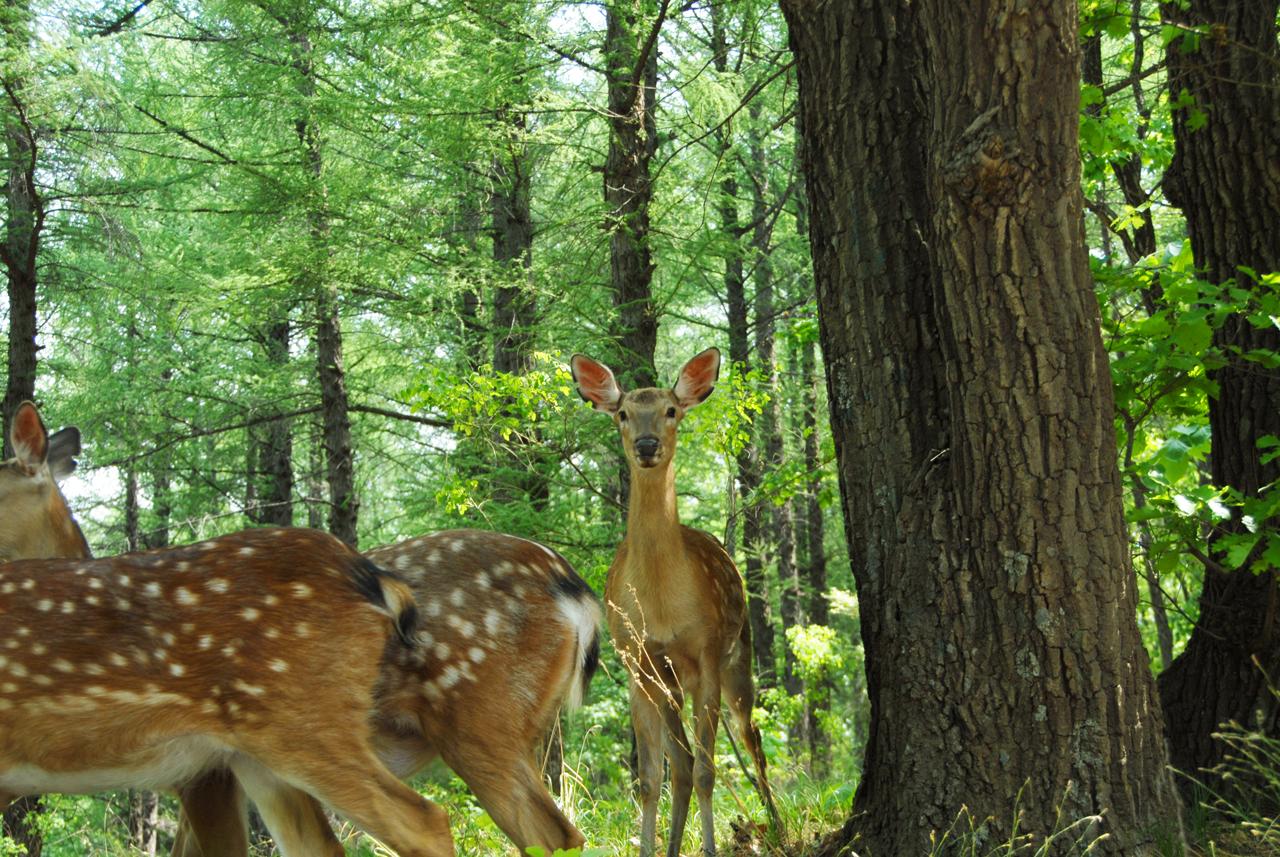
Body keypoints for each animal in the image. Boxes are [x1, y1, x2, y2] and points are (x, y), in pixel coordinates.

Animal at [573, 347, 778, 857]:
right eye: (623, 414)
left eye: (670, 410)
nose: (647, 445)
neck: (663, 605)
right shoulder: (639, 662)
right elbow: (652, 777)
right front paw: (651, 848)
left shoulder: (706, 651)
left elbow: (705, 771)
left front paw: (708, 847)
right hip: (668, 682)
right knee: (679, 762)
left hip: (738, 655)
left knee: (751, 738)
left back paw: (777, 823)